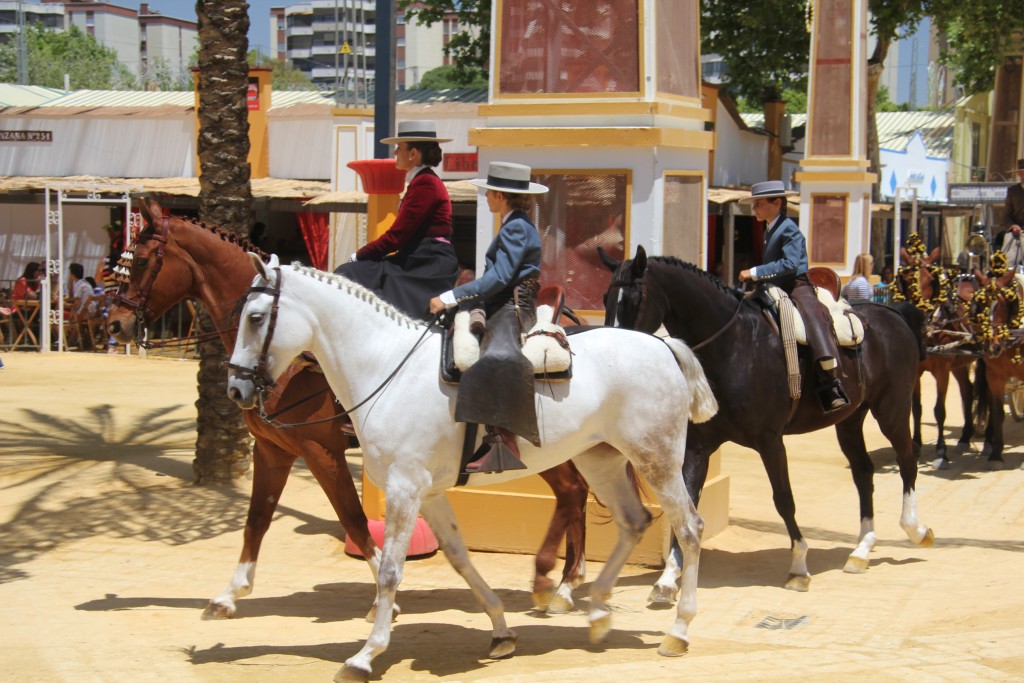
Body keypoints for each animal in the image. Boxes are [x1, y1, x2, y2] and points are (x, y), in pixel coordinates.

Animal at [107, 197, 589, 618]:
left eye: (142, 260)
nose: (115, 323)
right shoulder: (273, 450)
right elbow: (257, 518)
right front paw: (230, 593)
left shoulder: (320, 450)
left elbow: (354, 520)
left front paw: (386, 601)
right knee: (576, 490)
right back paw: (566, 582)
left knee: (571, 490)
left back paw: (558, 584)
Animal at [227, 253, 716, 679]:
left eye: (256, 317)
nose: (235, 388)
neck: (386, 369)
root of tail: (662, 344)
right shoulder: (428, 493)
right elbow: (459, 559)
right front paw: (501, 631)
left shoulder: (403, 488)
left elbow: (389, 570)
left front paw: (366, 655)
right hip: (601, 459)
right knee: (633, 521)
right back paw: (595, 608)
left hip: (657, 459)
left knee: (689, 528)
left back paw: (678, 628)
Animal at [598, 248, 937, 593]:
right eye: (605, 298)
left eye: (635, 299)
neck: (735, 346)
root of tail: (892, 314)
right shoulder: (699, 447)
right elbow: (688, 502)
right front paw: (668, 577)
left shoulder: (770, 440)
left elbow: (784, 499)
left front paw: (799, 566)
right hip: (851, 419)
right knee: (863, 471)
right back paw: (862, 549)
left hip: (891, 409)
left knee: (907, 458)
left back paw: (916, 530)